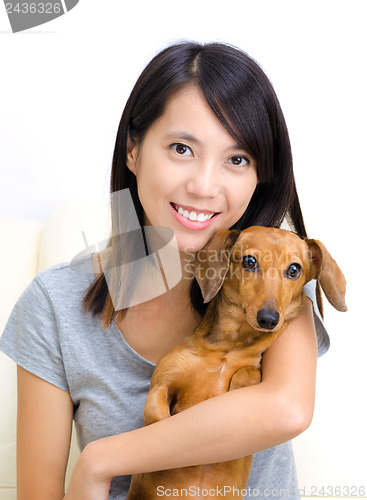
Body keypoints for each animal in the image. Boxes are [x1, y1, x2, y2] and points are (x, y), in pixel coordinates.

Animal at [126, 228, 348, 500]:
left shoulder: (250, 367)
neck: (227, 347)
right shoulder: (162, 385)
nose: (268, 319)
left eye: (294, 270)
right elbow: (157, 417)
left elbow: (249, 372)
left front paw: (236, 387)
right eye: (249, 262)